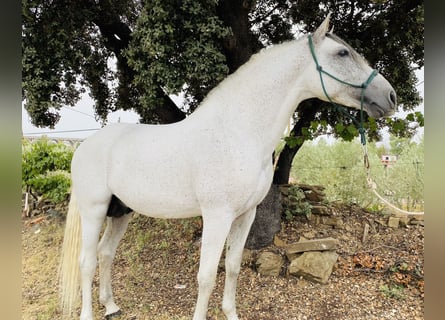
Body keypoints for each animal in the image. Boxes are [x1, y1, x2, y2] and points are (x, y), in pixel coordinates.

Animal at [59, 15, 396, 320]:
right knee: (87, 261)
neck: (237, 132)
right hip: (94, 210)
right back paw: (89, 313)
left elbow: (233, 267)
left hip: (121, 211)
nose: (390, 96)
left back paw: (111, 307)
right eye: (342, 53)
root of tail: (84, 146)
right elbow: (206, 276)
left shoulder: (245, 215)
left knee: (105, 253)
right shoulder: (217, 216)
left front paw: (231, 312)